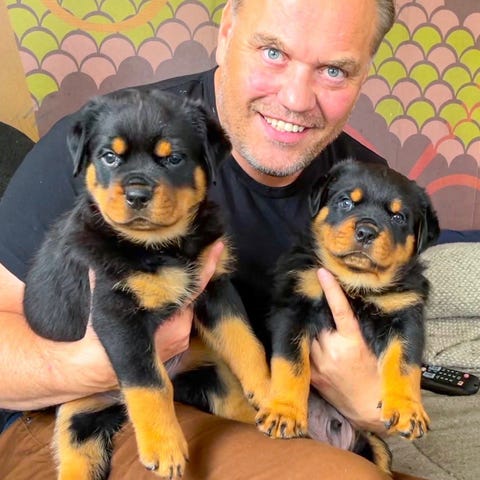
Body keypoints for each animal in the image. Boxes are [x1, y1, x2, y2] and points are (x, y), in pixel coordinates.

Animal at [23, 88, 271, 480]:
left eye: (173, 158)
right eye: (109, 157)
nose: (137, 195)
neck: (159, 246)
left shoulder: (215, 287)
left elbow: (245, 339)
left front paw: (269, 391)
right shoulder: (116, 312)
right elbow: (149, 381)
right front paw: (165, 447)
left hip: (212, 375)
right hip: (77, 417)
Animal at [253, 159, 440, 472]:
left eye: (398, 217)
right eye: (345, 202)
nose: (366, 231)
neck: (355, 283)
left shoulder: (405, 313)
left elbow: (405, 364)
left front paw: (407, 409)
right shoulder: (293, 305)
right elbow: (290, 363)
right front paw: (284, 412)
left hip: (374, 445)